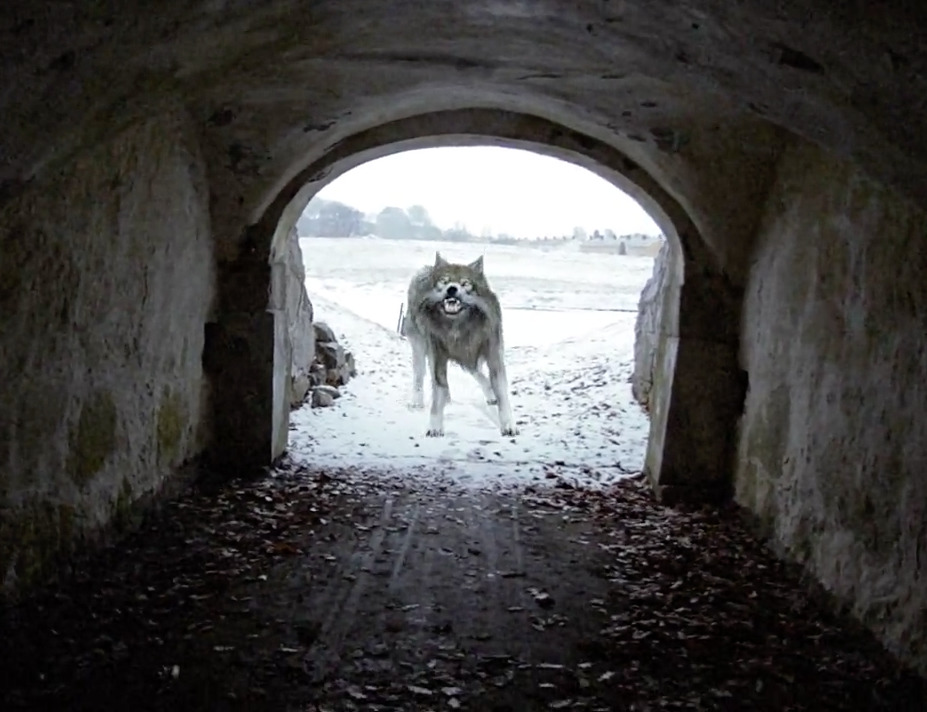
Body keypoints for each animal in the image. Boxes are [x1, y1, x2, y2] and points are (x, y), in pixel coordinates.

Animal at [402, 250, 520, 440]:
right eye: (444, 281)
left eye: (465, 283)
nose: (452, 288)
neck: (458, 326)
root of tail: (426, 269)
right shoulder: (438, 354)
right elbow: (438, 388)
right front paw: (435, 426)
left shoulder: (492, 354)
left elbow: (501, 392)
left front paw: (509, 426)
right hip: (420, 349)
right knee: (420, 376)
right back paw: (418, 401)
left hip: (469, 357)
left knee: (477, 374)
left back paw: (489, 395)